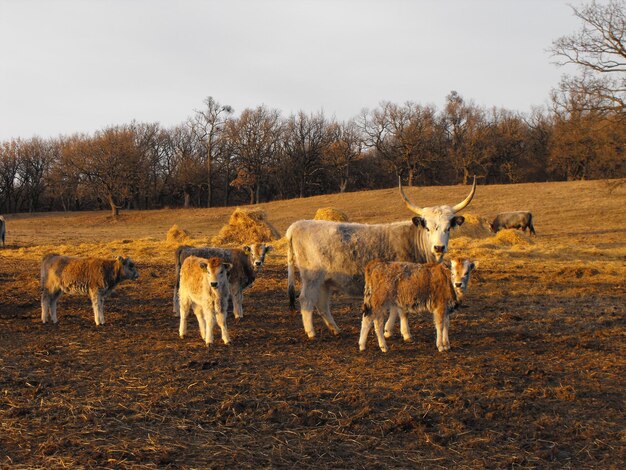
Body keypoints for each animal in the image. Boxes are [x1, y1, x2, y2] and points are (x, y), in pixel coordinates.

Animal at [286, 176, 476, 338]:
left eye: (448, 228)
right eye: (427, 228)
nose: (438, 247)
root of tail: (298, 224)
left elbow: (395, 308)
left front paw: (388, 330)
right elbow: (401, 309)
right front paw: (404, 333)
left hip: (325, 281)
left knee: (322, 304)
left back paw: (336, 329)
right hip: (312, 277)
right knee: (306, 300)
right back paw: (311, 332)